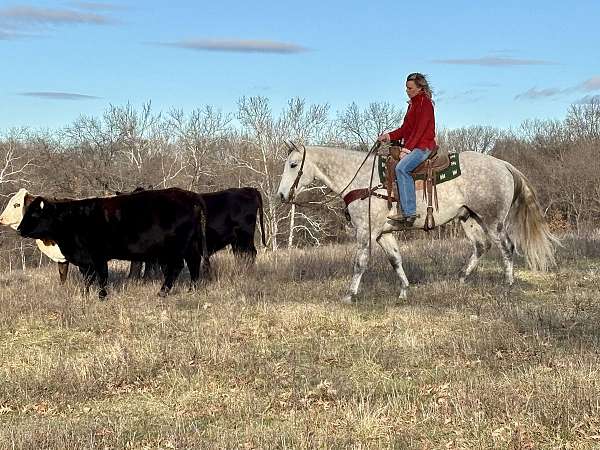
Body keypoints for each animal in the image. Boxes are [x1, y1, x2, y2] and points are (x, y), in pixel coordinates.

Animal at [276, 146, 556, 304]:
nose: (281, 195)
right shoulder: (384, 233)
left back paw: (507, 285)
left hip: (492, 219)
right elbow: (395, 260)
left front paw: (350, 295)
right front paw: (403, 291)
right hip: (468, 218)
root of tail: (503, 165)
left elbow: (360, 262)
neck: (363, 181)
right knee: (480, 246)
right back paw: (461, 279)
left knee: (506, 247)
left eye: (293, 165)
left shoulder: (367, 231)